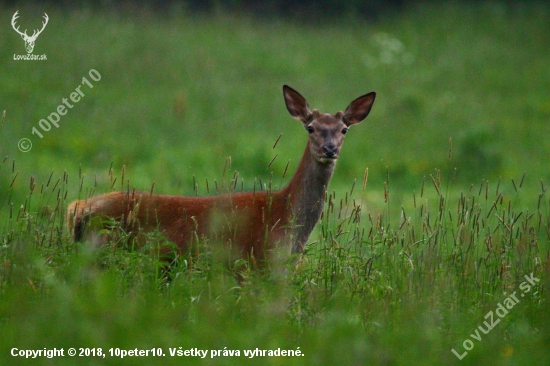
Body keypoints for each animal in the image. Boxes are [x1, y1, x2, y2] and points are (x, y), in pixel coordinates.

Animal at [63, 85, 376, 264]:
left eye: (344, 129)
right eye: (310, 127)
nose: (329, 148)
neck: (285, 219)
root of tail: (77, 208)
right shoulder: (255, 262)